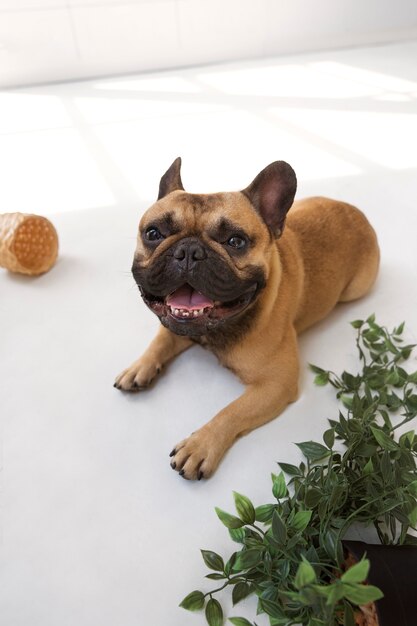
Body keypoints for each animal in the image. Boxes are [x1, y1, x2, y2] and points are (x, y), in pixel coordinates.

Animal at [114, 158, 376, 480]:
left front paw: (200, 445)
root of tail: (356, 211)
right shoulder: (177, 326)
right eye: (153, 233)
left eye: (235, 241)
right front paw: (138, 367)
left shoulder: (276, 384)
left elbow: (233, 410)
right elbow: (160, 340)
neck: (215, 331)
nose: (188, 250)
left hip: (356, 290)